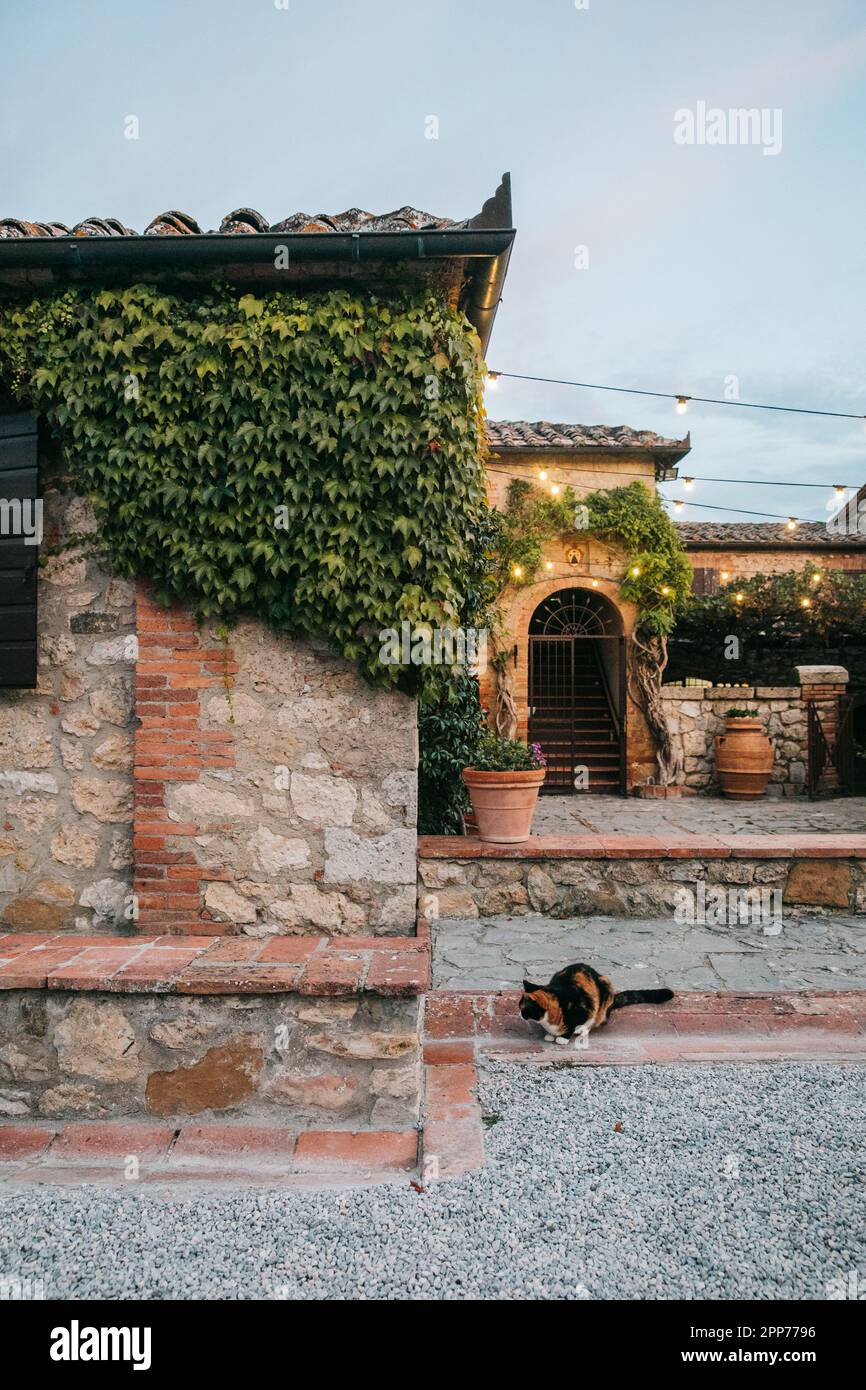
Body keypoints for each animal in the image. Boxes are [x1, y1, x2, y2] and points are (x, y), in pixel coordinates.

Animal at [517, 961, 675, 1045]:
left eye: (523, 1008)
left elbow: (574, 1024)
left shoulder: (584, 1009)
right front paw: (550, 1035)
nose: (518, 1013)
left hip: (604, 996)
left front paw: (563, 1038)